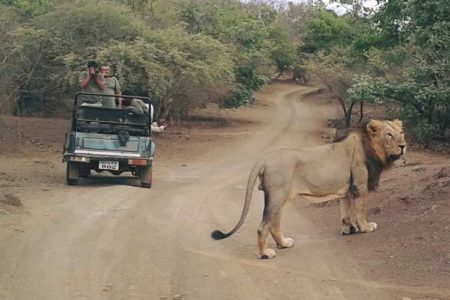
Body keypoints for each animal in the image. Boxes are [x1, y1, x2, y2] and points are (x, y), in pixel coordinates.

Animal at [213, 119, 406, 258]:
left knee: (274, 223)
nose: (403, 146)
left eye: (401, 133)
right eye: (389, 135)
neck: (372, 149)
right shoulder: (360, 186)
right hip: (277, 196)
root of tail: (265, 158)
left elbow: (345, 212)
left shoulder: (346, 189)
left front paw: (348, 230)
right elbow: (360, 211)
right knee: (263, 227)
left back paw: (284, 243)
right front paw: (366, 227)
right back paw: (266, 253)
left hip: (278, 198)